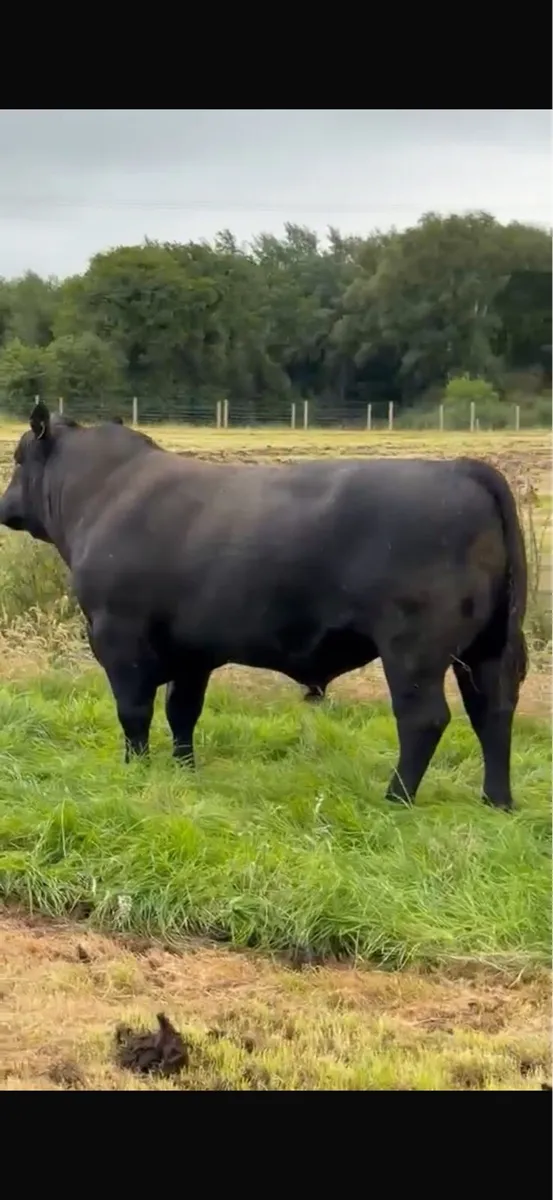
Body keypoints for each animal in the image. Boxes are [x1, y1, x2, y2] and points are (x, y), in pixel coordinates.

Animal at [0, 401, 528, 809]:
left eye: (18, 458)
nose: (4, 506)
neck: (107, 491)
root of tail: (460, 467)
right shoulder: (192, 651)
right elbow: (181, 711)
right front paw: (184, 770)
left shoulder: (117, 634)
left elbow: (134, 710)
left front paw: (136, 770)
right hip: (486, 646)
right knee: (493, 711)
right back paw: (496, 800)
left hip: (413, 648)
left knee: (425, 718)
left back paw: (396, 798)